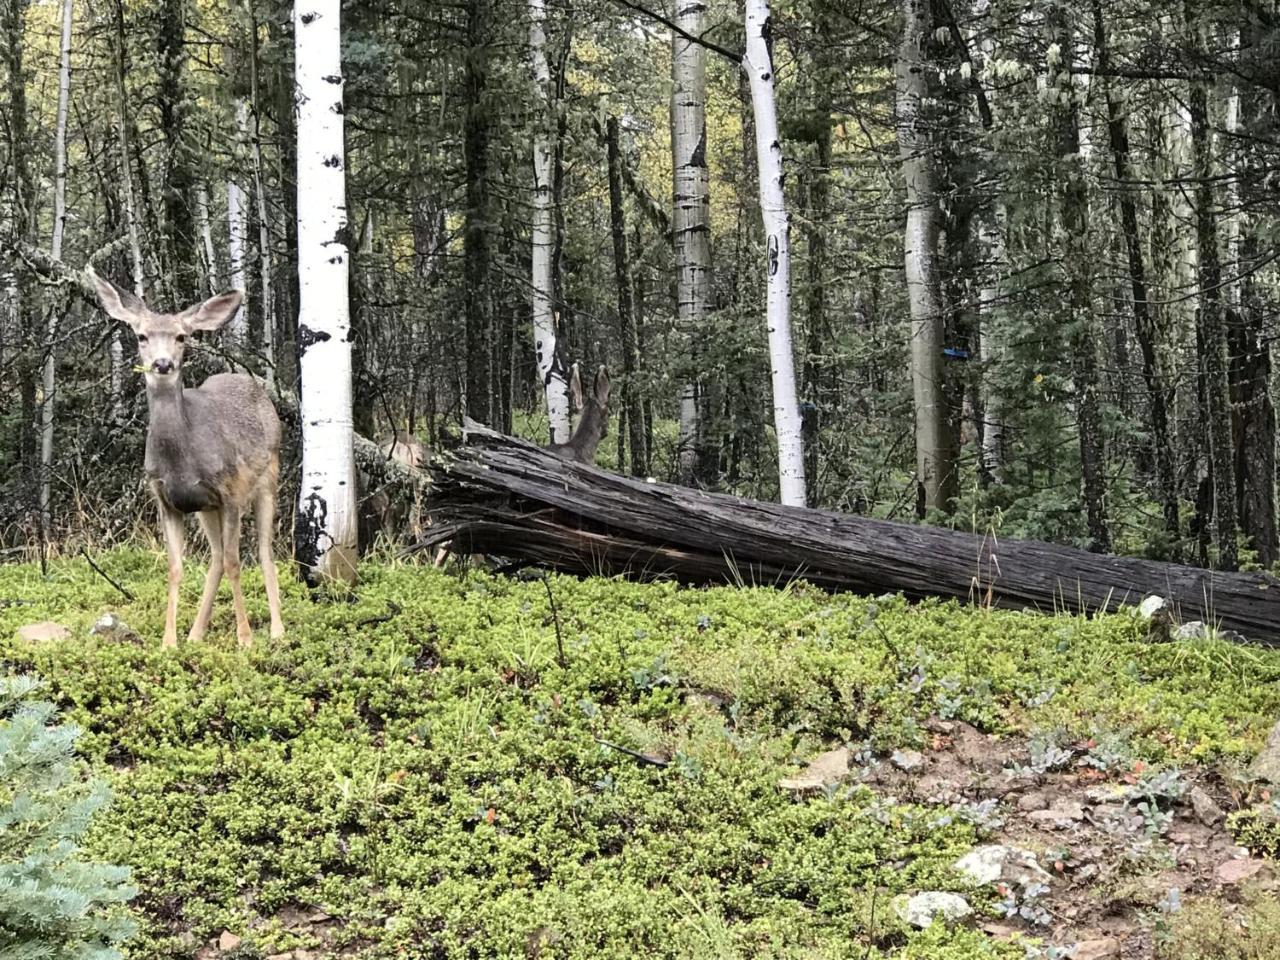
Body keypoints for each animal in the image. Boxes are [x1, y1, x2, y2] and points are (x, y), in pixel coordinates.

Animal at [91, 267, 286, 650]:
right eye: (142, 336)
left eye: (182, 337)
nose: (162, 363)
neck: (182, 457)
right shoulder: (167, 500)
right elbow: (176, 567)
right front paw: (169, 642)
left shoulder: (230, 491)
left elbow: (236, 562)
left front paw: (245, 639)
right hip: (205, 508)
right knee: (215, 557)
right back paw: (196, 634)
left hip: (268, 477)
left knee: (263, 551)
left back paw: (277, 631)